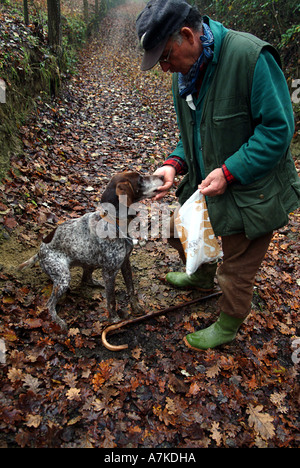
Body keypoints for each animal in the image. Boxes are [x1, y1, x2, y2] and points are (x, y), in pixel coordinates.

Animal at [18, 172, 164, 330]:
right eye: (140, 179)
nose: (162, 177)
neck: (117, 223)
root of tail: (39, 252)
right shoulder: (109, 272)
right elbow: (111, 301)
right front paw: (114, 320)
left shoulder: (125, 263)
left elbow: (131, 289)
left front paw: (136, 308)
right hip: (63, 278)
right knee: (49, 305)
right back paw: (58, 321)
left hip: (90, 261)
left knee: (86, 279)